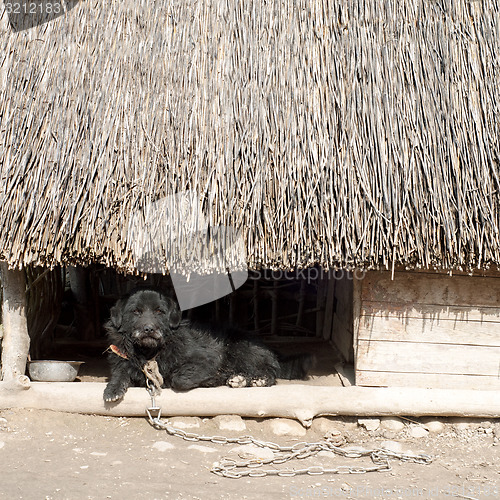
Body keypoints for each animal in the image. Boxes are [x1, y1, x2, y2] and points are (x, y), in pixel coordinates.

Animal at [102, 290, 312, 402]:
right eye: (136, 311)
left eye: (159, 311)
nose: (148, 329)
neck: (150, 352)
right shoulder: (124, 363)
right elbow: (120, 375)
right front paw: (112, 390)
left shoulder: (208, 360)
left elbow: (180, 378)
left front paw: (212, 379)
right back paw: (240, 379)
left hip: (239, 347)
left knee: (270, 372)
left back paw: (257, 379)